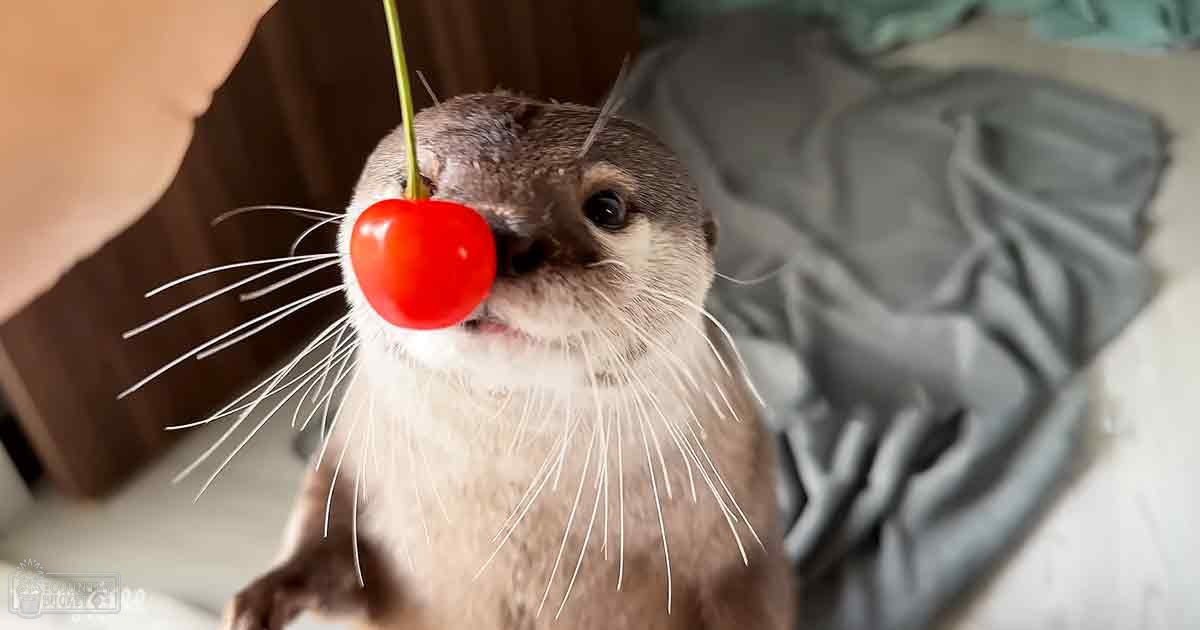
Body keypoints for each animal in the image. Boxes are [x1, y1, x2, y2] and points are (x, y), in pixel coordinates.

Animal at [221, 92, 793, 630]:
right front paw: (261, 599)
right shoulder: (347, 457)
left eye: (607, 207)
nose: (497, 234)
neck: (511, 527)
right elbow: (321, 536)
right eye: (418, 182)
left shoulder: (744, 544)